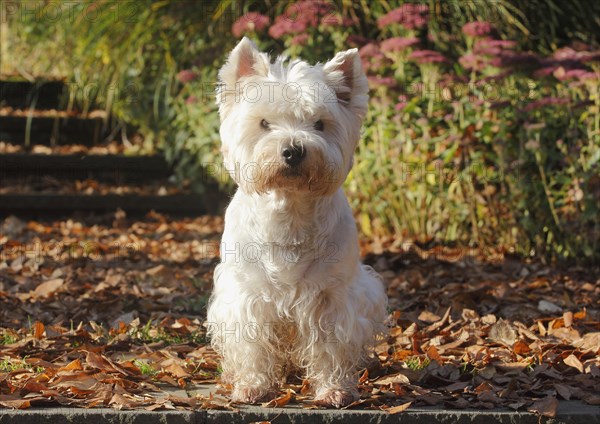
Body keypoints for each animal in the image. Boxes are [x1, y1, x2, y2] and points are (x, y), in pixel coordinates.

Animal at [204, 37, 386, 408]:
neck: (289, 211)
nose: (293, 151)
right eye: (264, 123)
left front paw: (333, 389)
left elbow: (330, 344)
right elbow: (251, 341)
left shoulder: (332, 296)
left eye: (320, 124)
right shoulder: (247, 294)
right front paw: (253, 386)